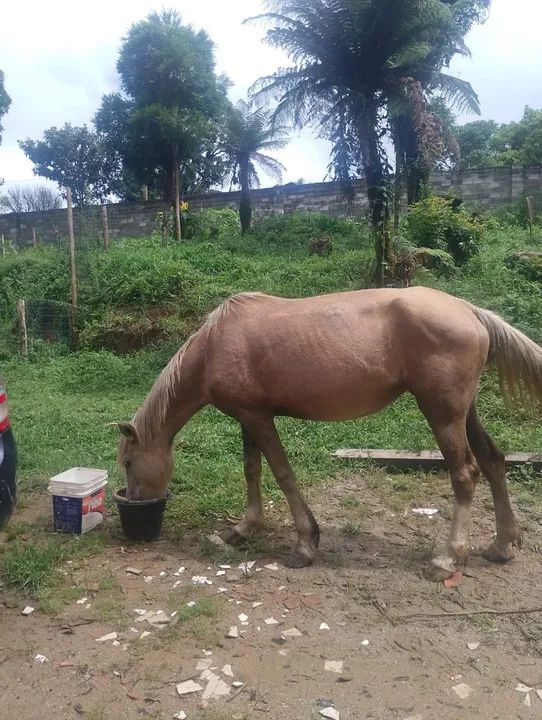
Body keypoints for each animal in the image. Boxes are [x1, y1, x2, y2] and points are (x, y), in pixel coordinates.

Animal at [116, 286, 542, 579]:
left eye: (128, 462)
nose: (135, 501)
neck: (214, 345)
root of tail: (469, 310)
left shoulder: (259, 418)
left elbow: (282, 473)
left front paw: (306, 545)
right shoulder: (247, 416)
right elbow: (252, 470)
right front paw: (243, 529)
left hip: (442, 415)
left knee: (465, 474)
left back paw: (450, 556)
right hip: (463, 413)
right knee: (494, 461)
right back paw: (503, 544)